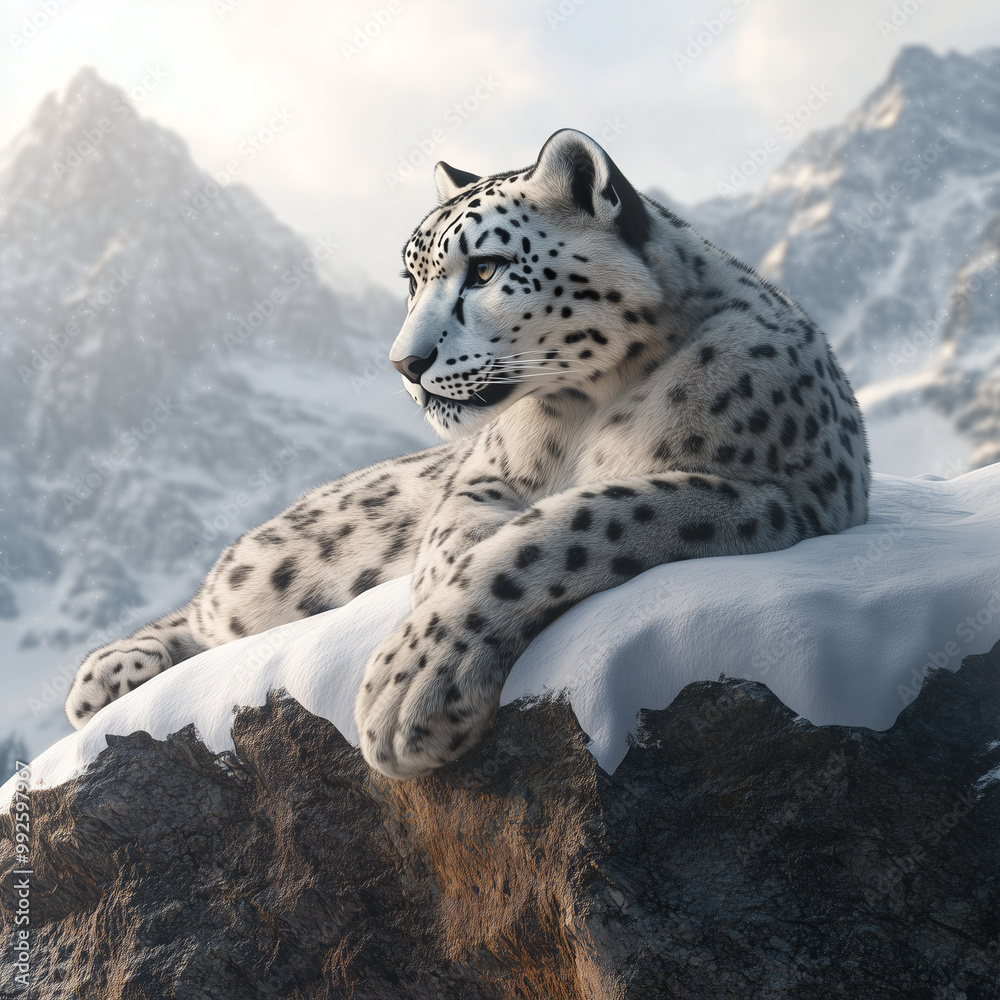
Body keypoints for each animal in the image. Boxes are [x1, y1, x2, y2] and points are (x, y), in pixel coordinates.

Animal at [66, 128, 870, 778]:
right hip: (270, 572)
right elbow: (457, 533)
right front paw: (429, 600)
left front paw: (410, 687)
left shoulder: (774, 490)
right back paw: (106, 673)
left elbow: (576, 524)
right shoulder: (486, 474)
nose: (405, 363)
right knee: (209, 611)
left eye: (484, 268)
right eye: (411, 277)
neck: (582, 413)